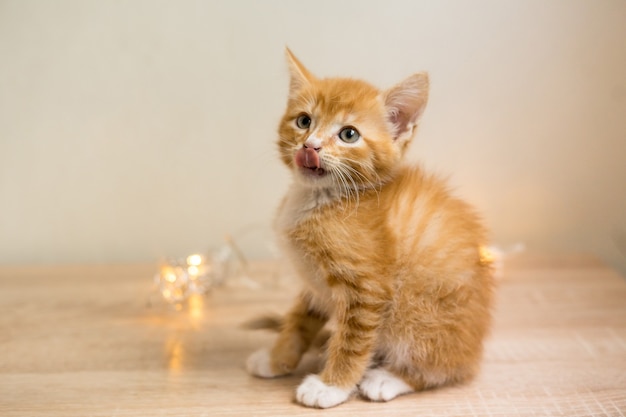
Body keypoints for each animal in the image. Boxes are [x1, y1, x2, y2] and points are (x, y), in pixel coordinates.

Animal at [244, 50, 492, 408]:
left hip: (423, 315)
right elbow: (298, 322)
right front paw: (277, 359)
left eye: (349, 134)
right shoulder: (313, 286)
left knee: (445, 367)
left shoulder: (367, 289)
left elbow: (352, 342)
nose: (310, 146)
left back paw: (388, 378)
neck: (321, 199)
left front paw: (331, 386)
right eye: (304, 121)